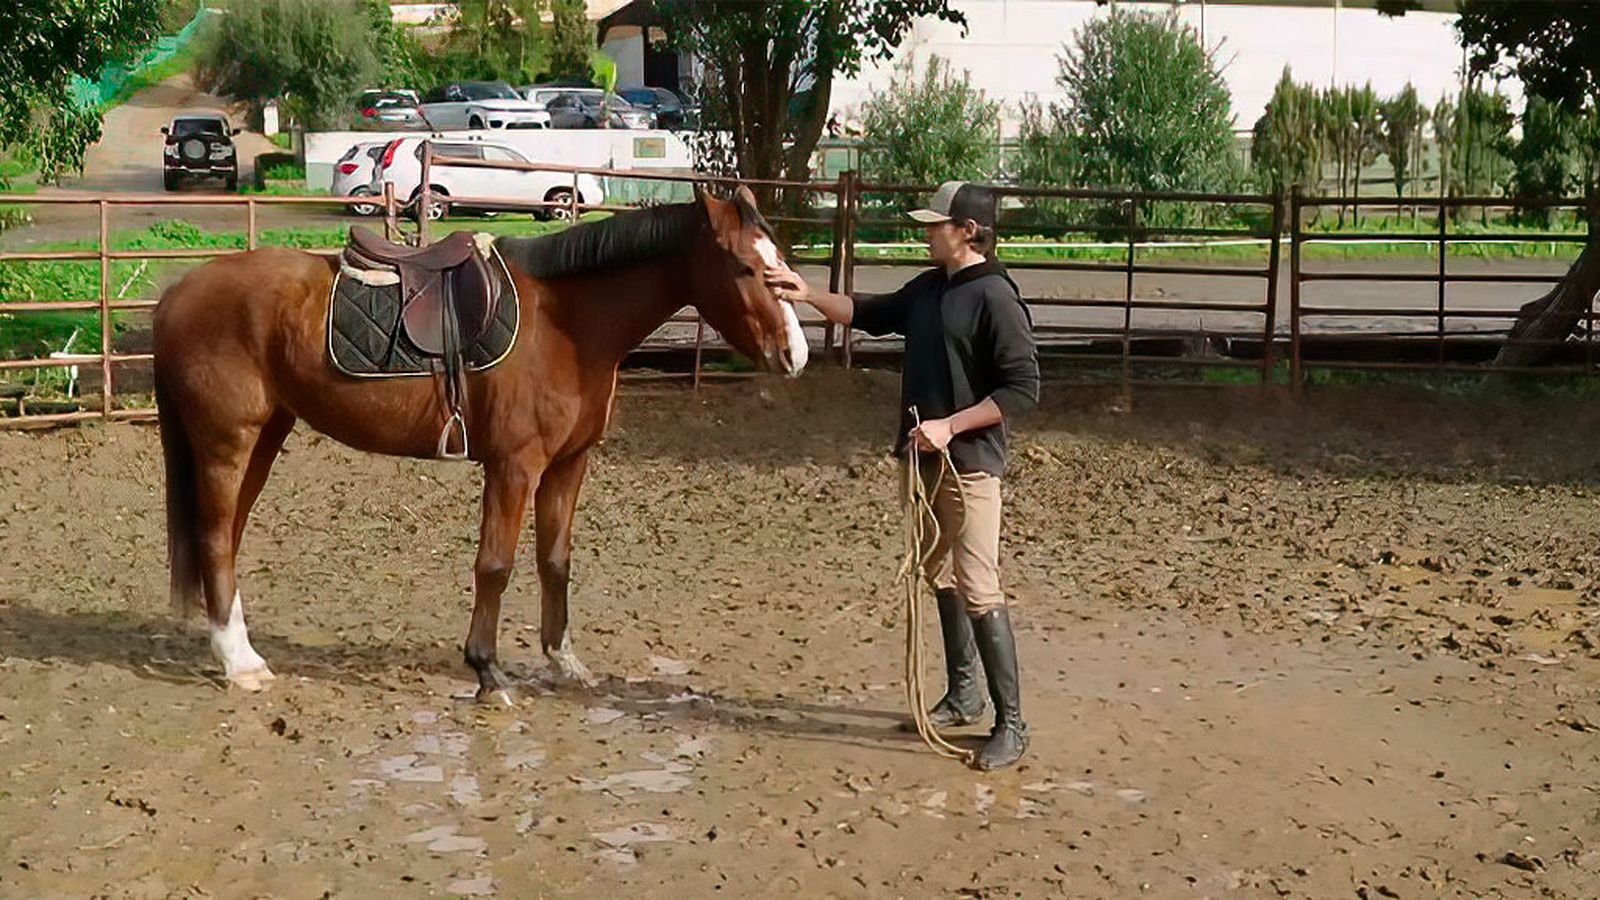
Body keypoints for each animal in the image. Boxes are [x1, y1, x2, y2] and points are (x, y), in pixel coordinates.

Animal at [152, 185, 807, 701]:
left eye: (779, 262)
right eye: (746, 268)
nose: (794, 354)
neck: (566, 324)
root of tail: (179, 293)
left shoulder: (568, 465)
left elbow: (555, 560)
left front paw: (563, 660)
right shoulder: (514, 466)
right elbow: (495, 564)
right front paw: (487, 671)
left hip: (265, 437)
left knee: (226, 538)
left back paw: (235, 649)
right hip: (227, 442)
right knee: (216, 538)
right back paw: (239, 663)